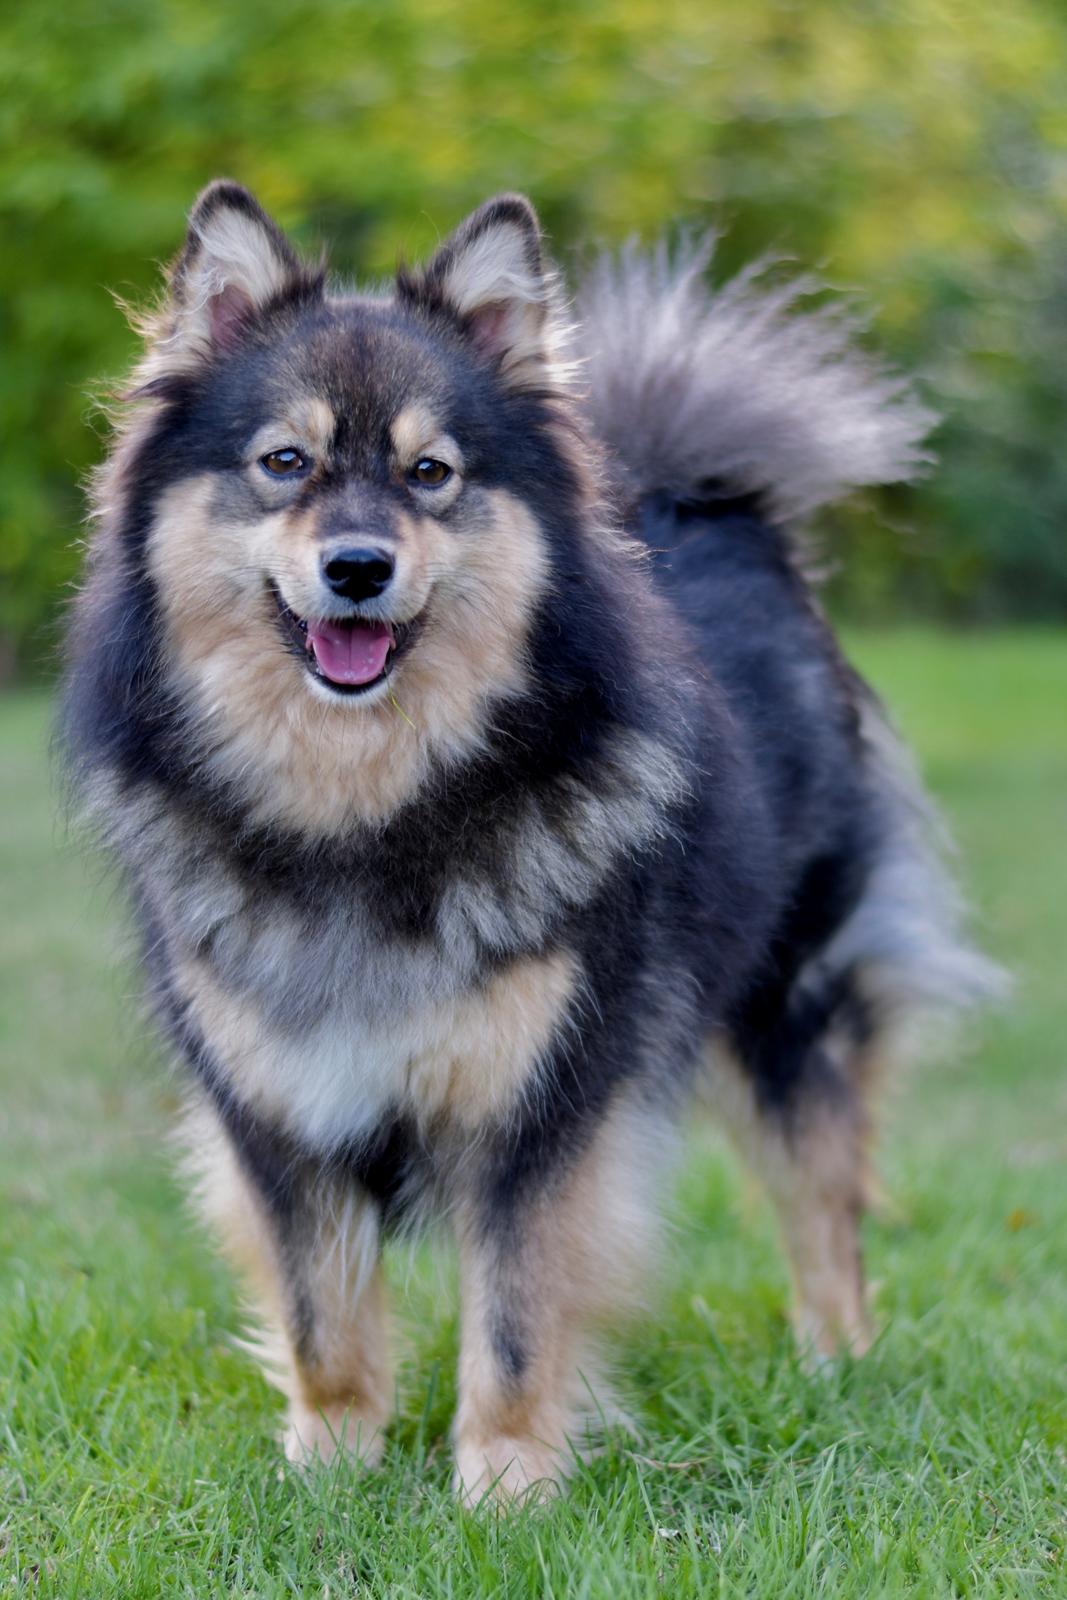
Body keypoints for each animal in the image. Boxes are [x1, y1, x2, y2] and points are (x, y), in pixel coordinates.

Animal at [62, 181, 1004, 1504]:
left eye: (431, 473)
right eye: (284, 463)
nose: (358, 566)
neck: (363, 815)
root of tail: (708, 504)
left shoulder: (538, 1106)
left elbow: (512, 1320)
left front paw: (503, 1492)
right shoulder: (274, 1108)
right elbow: (322, 1317)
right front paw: (329, 1474)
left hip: (786, 999)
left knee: (822, 1196)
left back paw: (837, 1366)